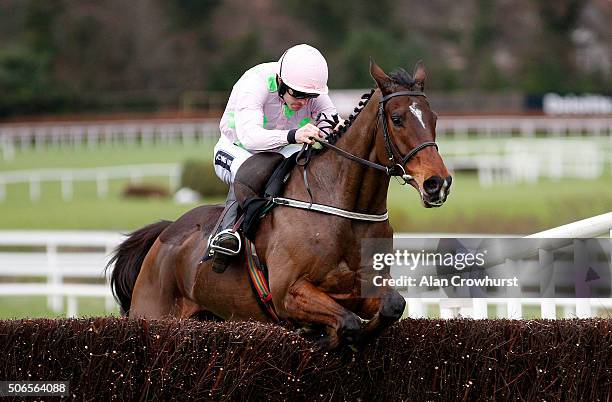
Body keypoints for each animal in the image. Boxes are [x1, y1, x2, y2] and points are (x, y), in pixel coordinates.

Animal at [106, 59, 450, 348]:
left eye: (434, 118)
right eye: (398, 119)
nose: (438, 183)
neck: (344, 210)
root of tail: (164, 235)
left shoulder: (362, 289)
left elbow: (392, 305)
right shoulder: (289, 292)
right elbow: (348, 323)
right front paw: (326, 337)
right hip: (152, 310)